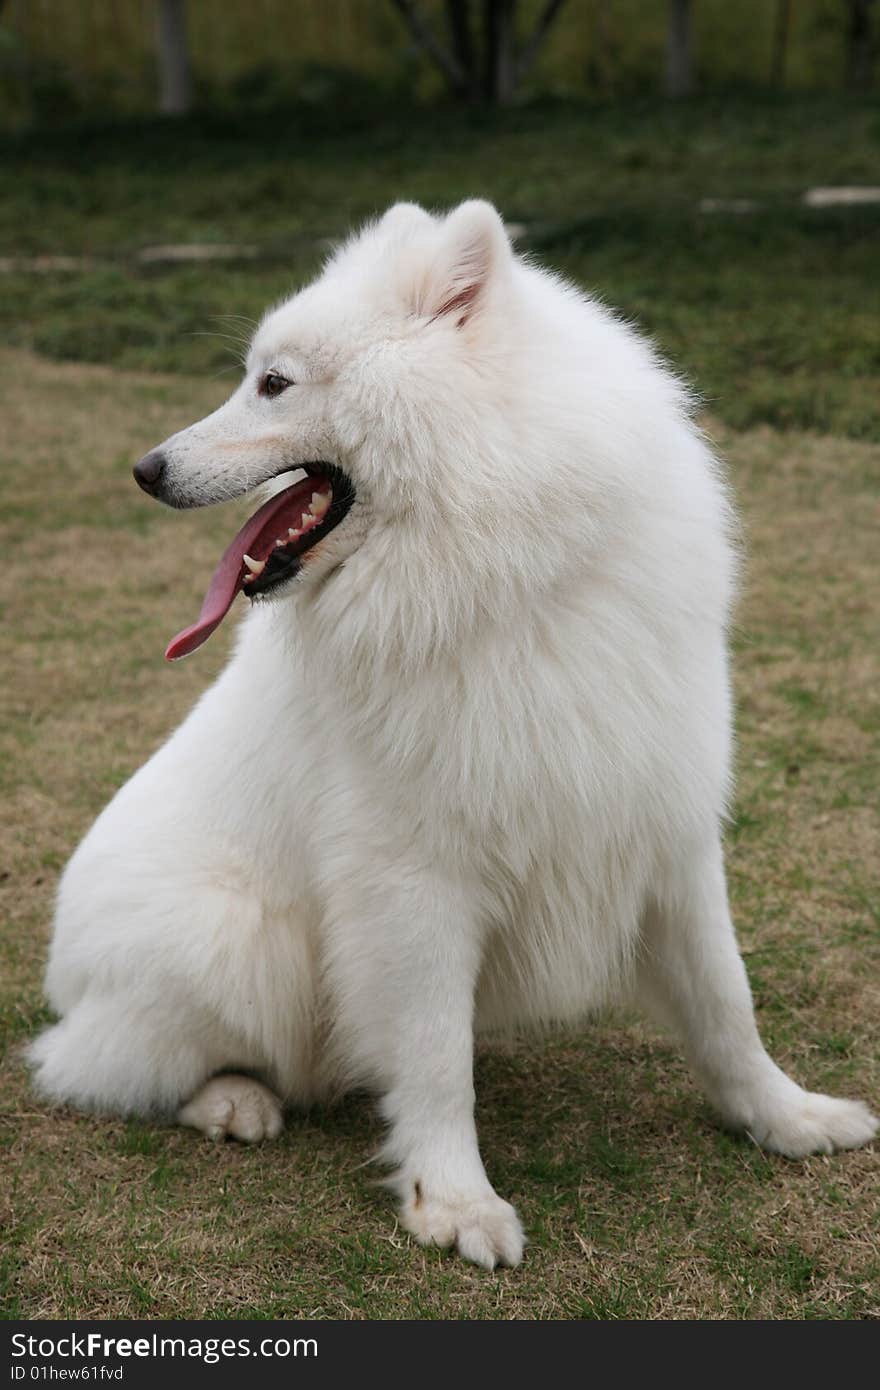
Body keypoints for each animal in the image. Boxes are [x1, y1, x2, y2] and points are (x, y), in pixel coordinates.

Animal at [30, 201, 873, 1267]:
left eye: (273, 382)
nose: (146, 470)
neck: (506, 572)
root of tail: (65, 976)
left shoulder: (663, 831)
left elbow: (727, 1003)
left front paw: (788, 1119)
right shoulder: (413, 880)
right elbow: (433, 1059)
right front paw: (456, 1203)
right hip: (234, 944)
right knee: (98, 1067)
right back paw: (231, 1101)